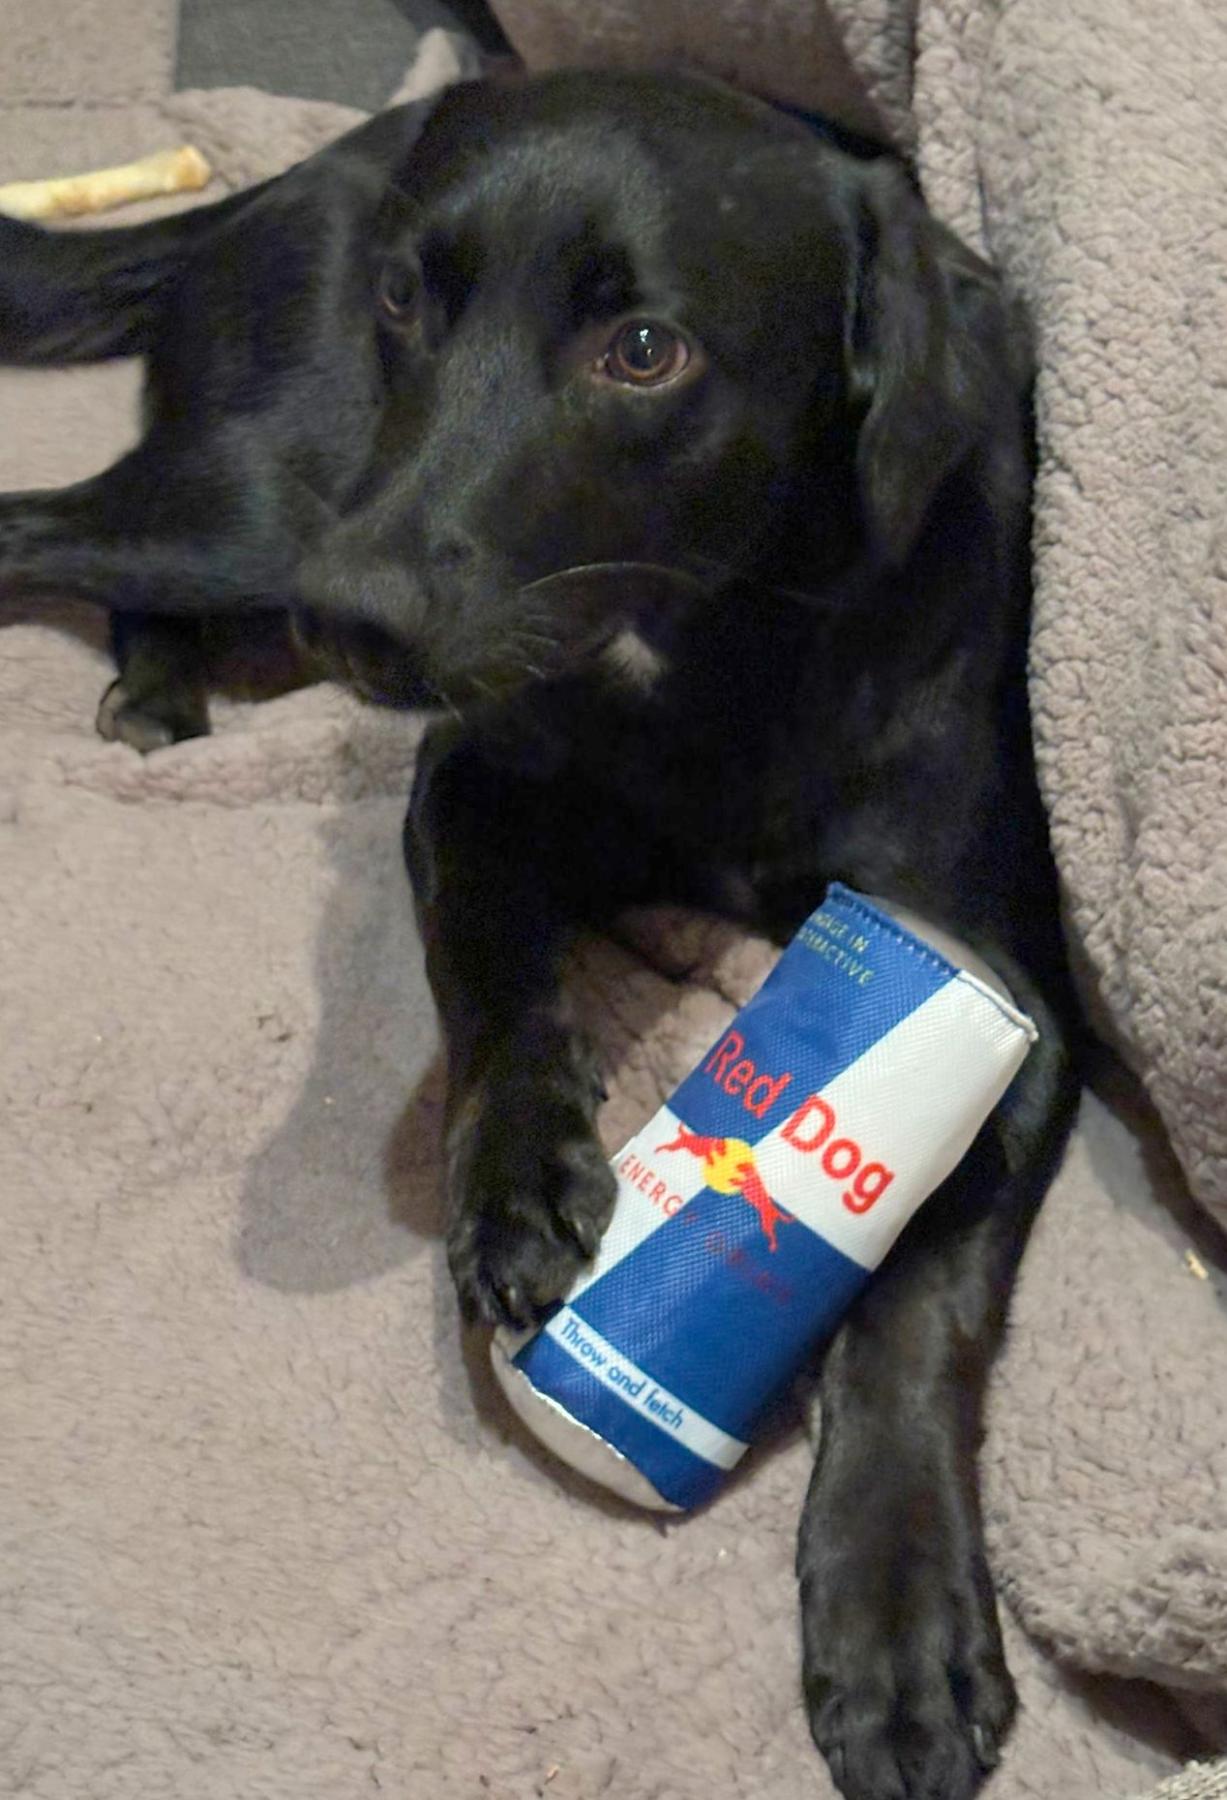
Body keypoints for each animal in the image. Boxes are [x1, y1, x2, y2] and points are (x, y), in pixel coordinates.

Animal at [0, 70, 1081, 1800]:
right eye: (402, 299)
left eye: (642, 350)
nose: (350, 619)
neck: (711, 641)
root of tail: (293, 173)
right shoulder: (465, 787)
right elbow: (496, 993)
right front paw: (513, 1190)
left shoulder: (998, 989)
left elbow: (913, 1294)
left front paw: (895, 1610)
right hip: (261, 500)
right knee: (38, 528)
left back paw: (162, 687)